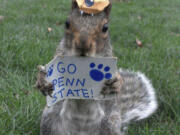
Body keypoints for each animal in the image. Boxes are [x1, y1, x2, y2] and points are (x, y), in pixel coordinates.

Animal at [35, 0, 158, 134]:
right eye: (67, 23)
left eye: (105, 28)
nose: (83, 44)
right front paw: (43, 81)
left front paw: (116, 82)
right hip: (49, 121)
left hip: (110, 125)